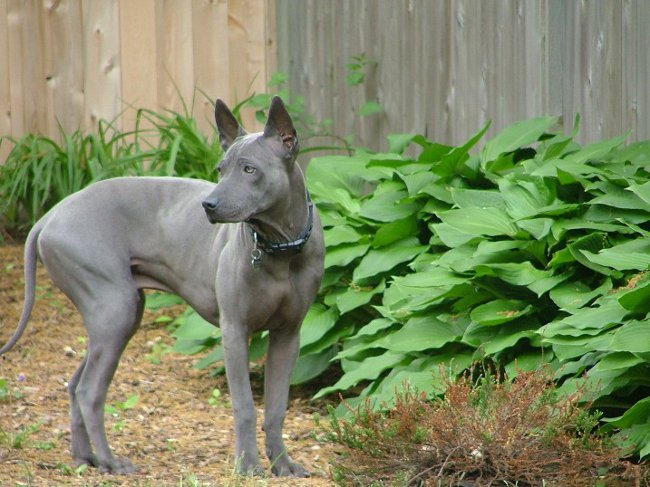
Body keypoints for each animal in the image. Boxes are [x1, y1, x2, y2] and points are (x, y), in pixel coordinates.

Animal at [0, 96, 324, 476]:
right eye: (220, 169)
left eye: (249, 169)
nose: (208, 204)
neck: (279, 247)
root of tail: (50, 216)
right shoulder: (234, 331)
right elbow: (245, 404)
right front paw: (248, 466)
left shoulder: (289, 334)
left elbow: (275, 407)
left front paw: (283, 464)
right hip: (115, 309)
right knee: (90, 391)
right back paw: (111, 461)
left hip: (115, 317)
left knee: (76, 383)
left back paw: (85, 458)